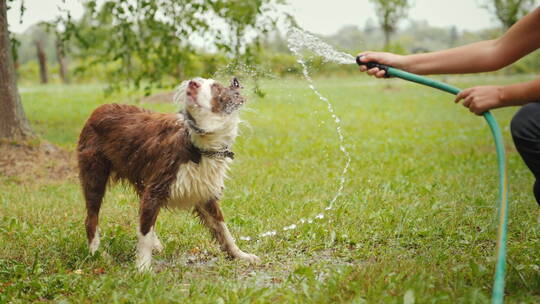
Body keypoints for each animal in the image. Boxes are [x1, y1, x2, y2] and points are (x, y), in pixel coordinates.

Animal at [77, 77, 260, 270]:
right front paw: (142, 269)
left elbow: (224, 230)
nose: (193, 83)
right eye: (199, 80)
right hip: (95, 175)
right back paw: (97, 254)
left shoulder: (205, 193)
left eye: (216, 87)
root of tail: (99, 108)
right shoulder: (156, 188)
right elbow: (144, 234)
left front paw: (241, 255)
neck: (199, 146)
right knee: (91, 220)